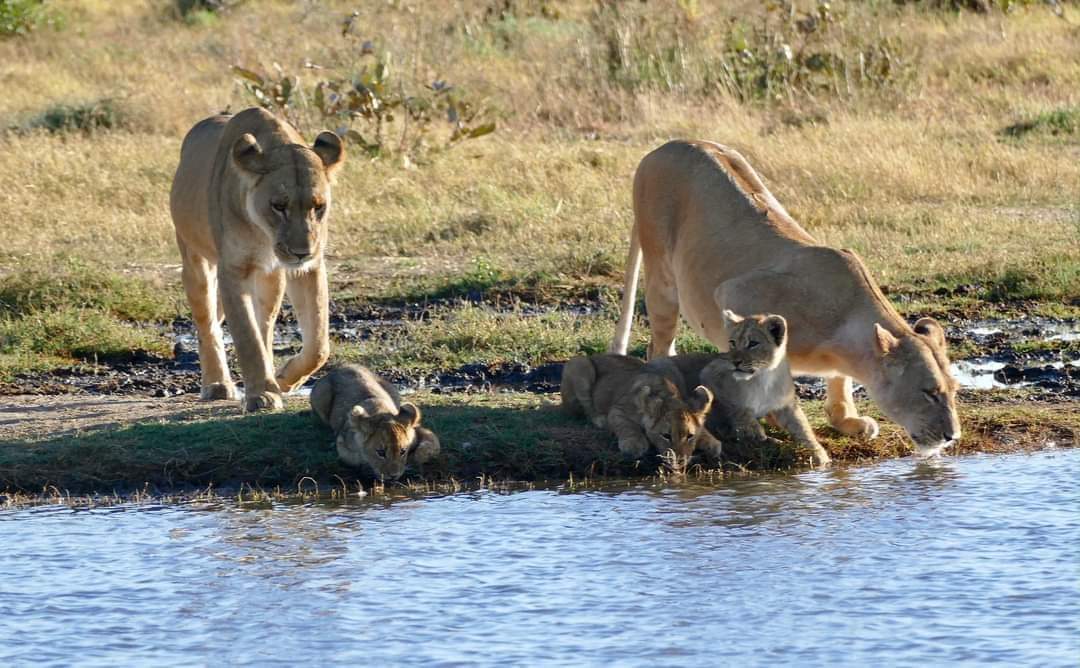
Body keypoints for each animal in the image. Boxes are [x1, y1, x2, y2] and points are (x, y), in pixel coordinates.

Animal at [170, 107, 345, 412]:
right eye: (279, 206)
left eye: (318, 206)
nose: (301, 252)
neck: (264, 233)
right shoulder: (232, 269)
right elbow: (246, 337)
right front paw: (262, 395)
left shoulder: (307, 269)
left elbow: (318, 344)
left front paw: (284, 380)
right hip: (194, 259)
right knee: (208, 323)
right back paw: (217, 384)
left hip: (270, 278)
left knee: (263, 323)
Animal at [310, 364, 441, 480]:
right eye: (380, 452)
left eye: (403, 451)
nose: (393, 476)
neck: (380, 411)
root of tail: (341, 366)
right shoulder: (343, 444)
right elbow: (355, 459)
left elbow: (431, 444)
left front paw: (415, 458)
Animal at [561, 353, 721, 467]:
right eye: (666, 436)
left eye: (690, 436)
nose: (679, 461)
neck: (665, 393)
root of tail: (597, 355)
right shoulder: (617, 410)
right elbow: (627, 426)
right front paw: (634, 444)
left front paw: (711, 443)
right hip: (579, 364)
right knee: (586, 409)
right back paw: (600, 420)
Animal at [645, 310, 831, 467]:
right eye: (732, 343)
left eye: (753, 343)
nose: (735, 362)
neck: (764, 377)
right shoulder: (710, 375)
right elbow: (742, 413)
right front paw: (762, 436)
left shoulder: (787, 405)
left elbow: (803, 428)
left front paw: (820, 455)